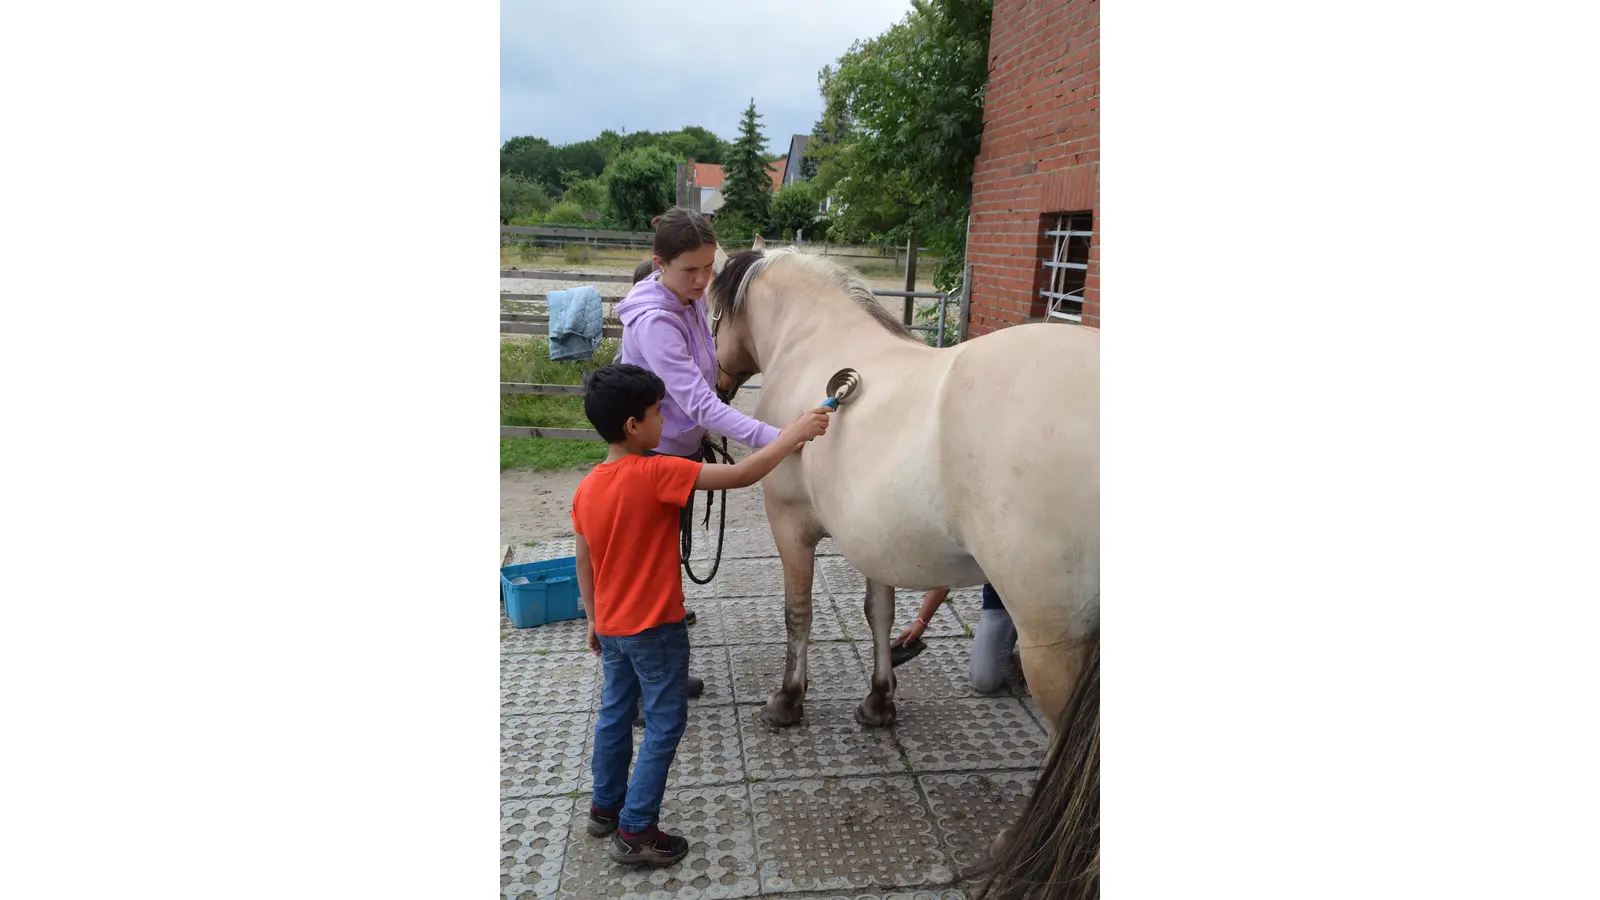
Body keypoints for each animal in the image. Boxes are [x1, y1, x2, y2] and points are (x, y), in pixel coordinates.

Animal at [713, 241, 1100, 733]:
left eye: (712, 310)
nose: (717, 384)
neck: (815, 342)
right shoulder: (876, 537)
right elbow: (879, 612)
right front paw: (879, 701)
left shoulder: (788, 522)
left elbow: (797, 612)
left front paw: (787, 700)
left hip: (1053, 644)